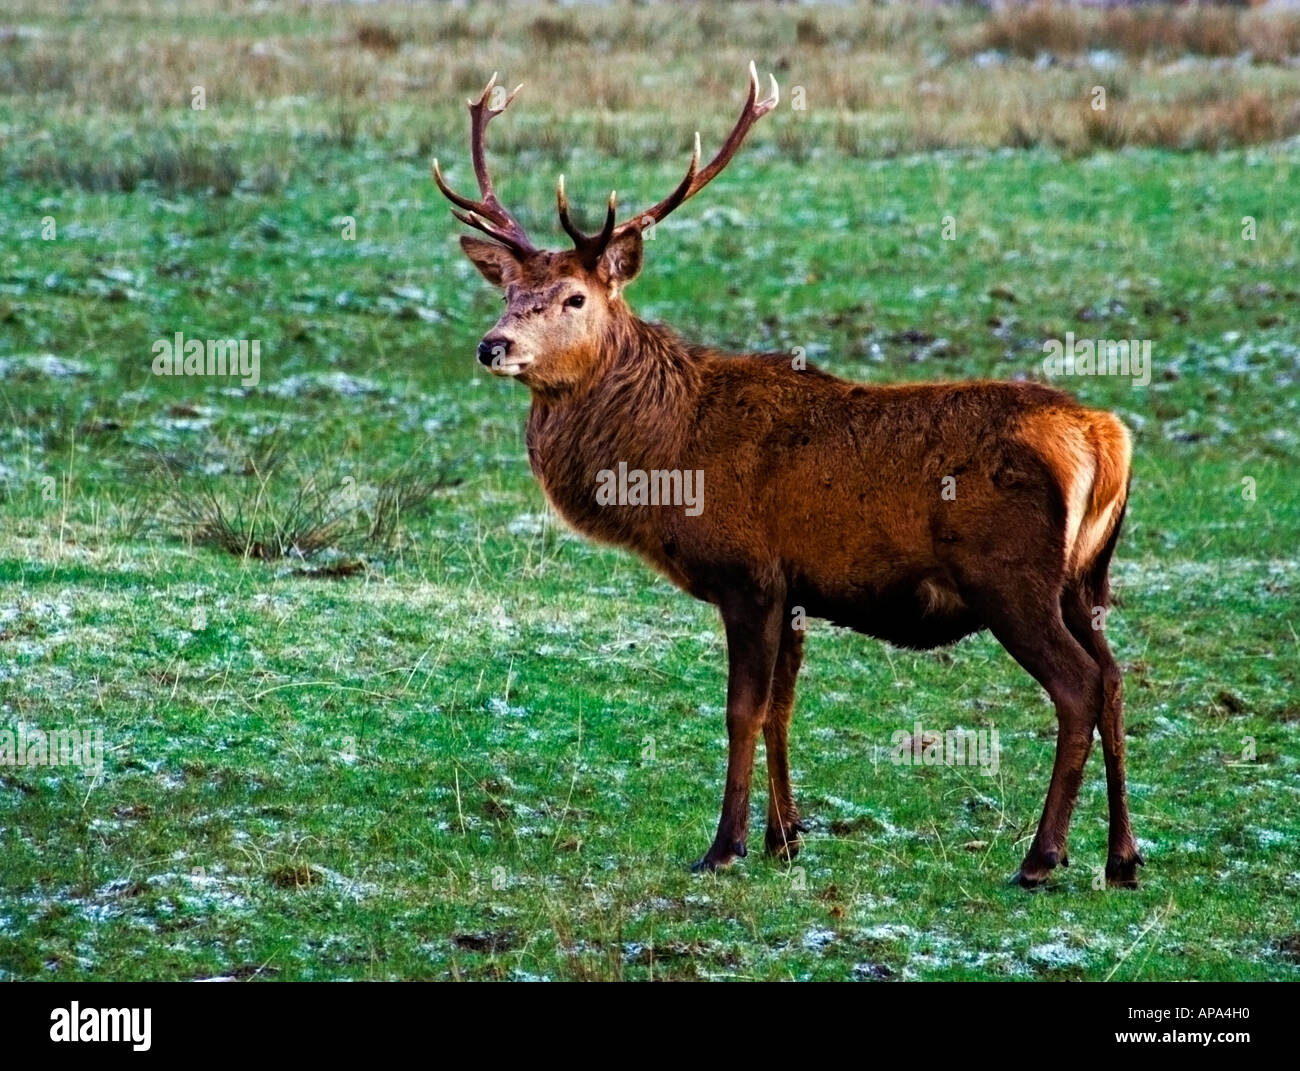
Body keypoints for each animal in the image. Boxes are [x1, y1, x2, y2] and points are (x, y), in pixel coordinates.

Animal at [432, 65, 1142, 888]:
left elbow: (742, 710)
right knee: (1116, 677)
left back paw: (1041, 856)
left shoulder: (751, 574)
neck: (669, 456)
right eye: (508, 294)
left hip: (1012, 575)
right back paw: (1123, 857)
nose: (494, 344)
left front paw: (724, 845)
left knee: (1078, 686)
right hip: (1086, 578)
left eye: (575, 297)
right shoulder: (798, 591)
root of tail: (1107, 436)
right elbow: (783, 708)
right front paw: (786, 837)